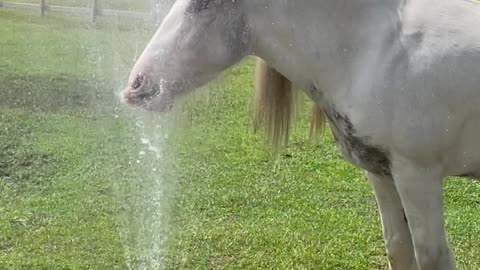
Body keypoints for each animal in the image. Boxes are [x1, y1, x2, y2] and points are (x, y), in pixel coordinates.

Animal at [122, 1, 480, 268]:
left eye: (204, 3)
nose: (135, 85)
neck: (377, 48)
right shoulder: (381, 172)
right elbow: (398, 249)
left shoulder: (416, 174)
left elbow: (431, 256)